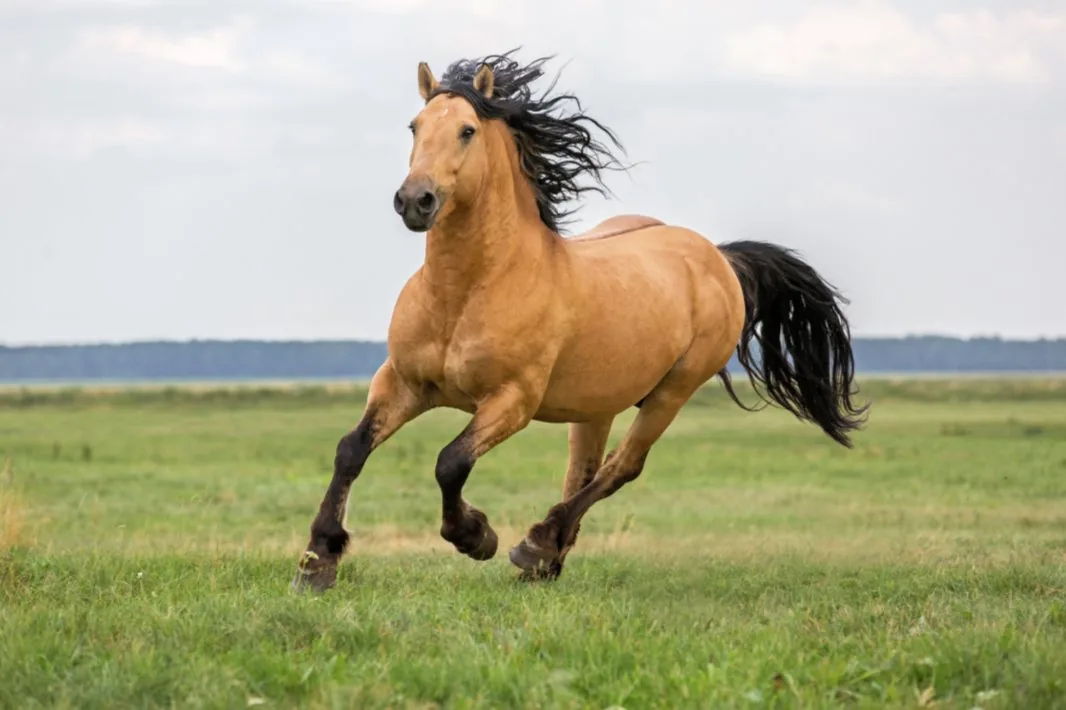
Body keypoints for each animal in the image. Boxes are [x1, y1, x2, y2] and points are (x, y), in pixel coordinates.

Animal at [292, 51, 869, 593]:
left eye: (467, 130)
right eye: (414, 126)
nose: (415, 200)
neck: (467, 291)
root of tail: (717, 257)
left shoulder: (512, 401)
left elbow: (449, 462)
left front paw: (477, 537)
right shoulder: (403, 383)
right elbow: (351, 450)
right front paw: (318, 561)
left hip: (672, 391)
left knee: (620, 469)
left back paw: (534, 545)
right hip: (597, 405)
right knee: (583, 471)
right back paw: (545, 561)